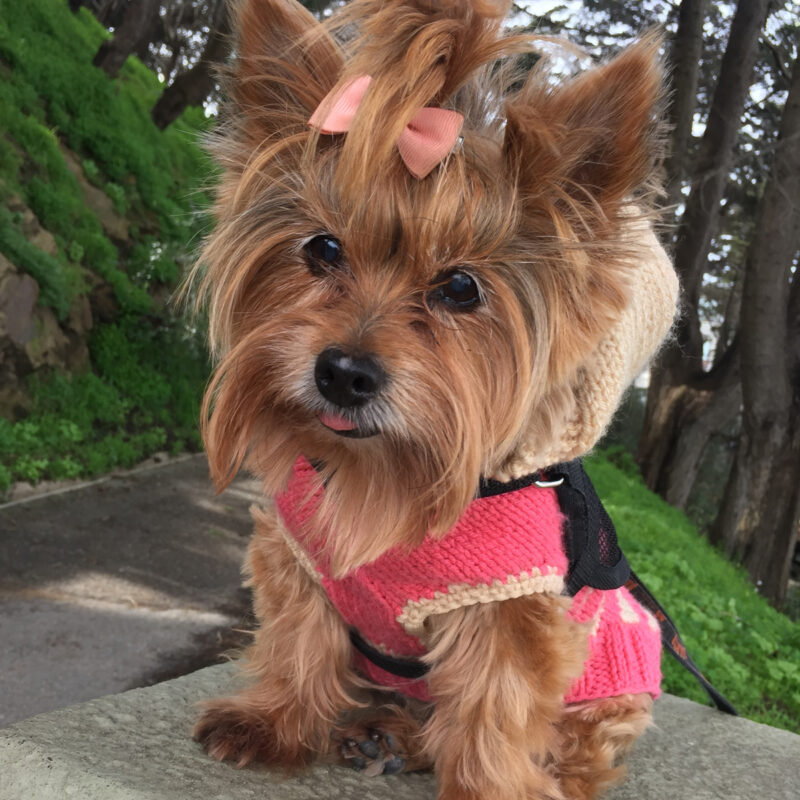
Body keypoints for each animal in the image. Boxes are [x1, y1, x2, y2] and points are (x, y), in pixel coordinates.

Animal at [191, 1, 680, 800]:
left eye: (460, 288)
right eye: (322, 249)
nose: (344, 372)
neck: (382, 472)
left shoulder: (509, 603)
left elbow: (496, 701)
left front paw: (491, 789)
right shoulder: (300, 555)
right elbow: (298, 635)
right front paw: (274, 721)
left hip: (613, 685)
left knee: (575, 748)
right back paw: (382, 727)